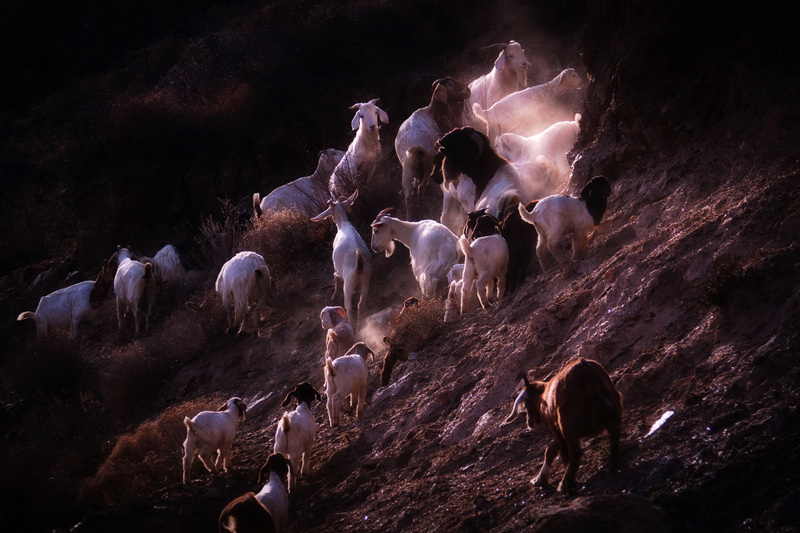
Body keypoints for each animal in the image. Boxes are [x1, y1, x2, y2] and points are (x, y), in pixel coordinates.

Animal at [314, 189, 374, 326]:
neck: (343, 224)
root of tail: (359, 263)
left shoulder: (337, 268)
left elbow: (335, 277)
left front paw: (334, 295)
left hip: (349, 281)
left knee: (349, 306)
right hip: (366, 277)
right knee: (361, 303)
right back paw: (360, 322)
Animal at [506, 358, 624, 490]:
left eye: (526, 404)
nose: (529, 422)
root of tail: (584, 367)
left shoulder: (556, 429)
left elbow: (560, 452)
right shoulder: (559, 432)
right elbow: (551, 450)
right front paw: (540, 479)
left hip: (567, 422)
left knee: (575, 452)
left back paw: (565, 484)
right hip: (613, 410)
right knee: (614, 437)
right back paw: (613, 467)